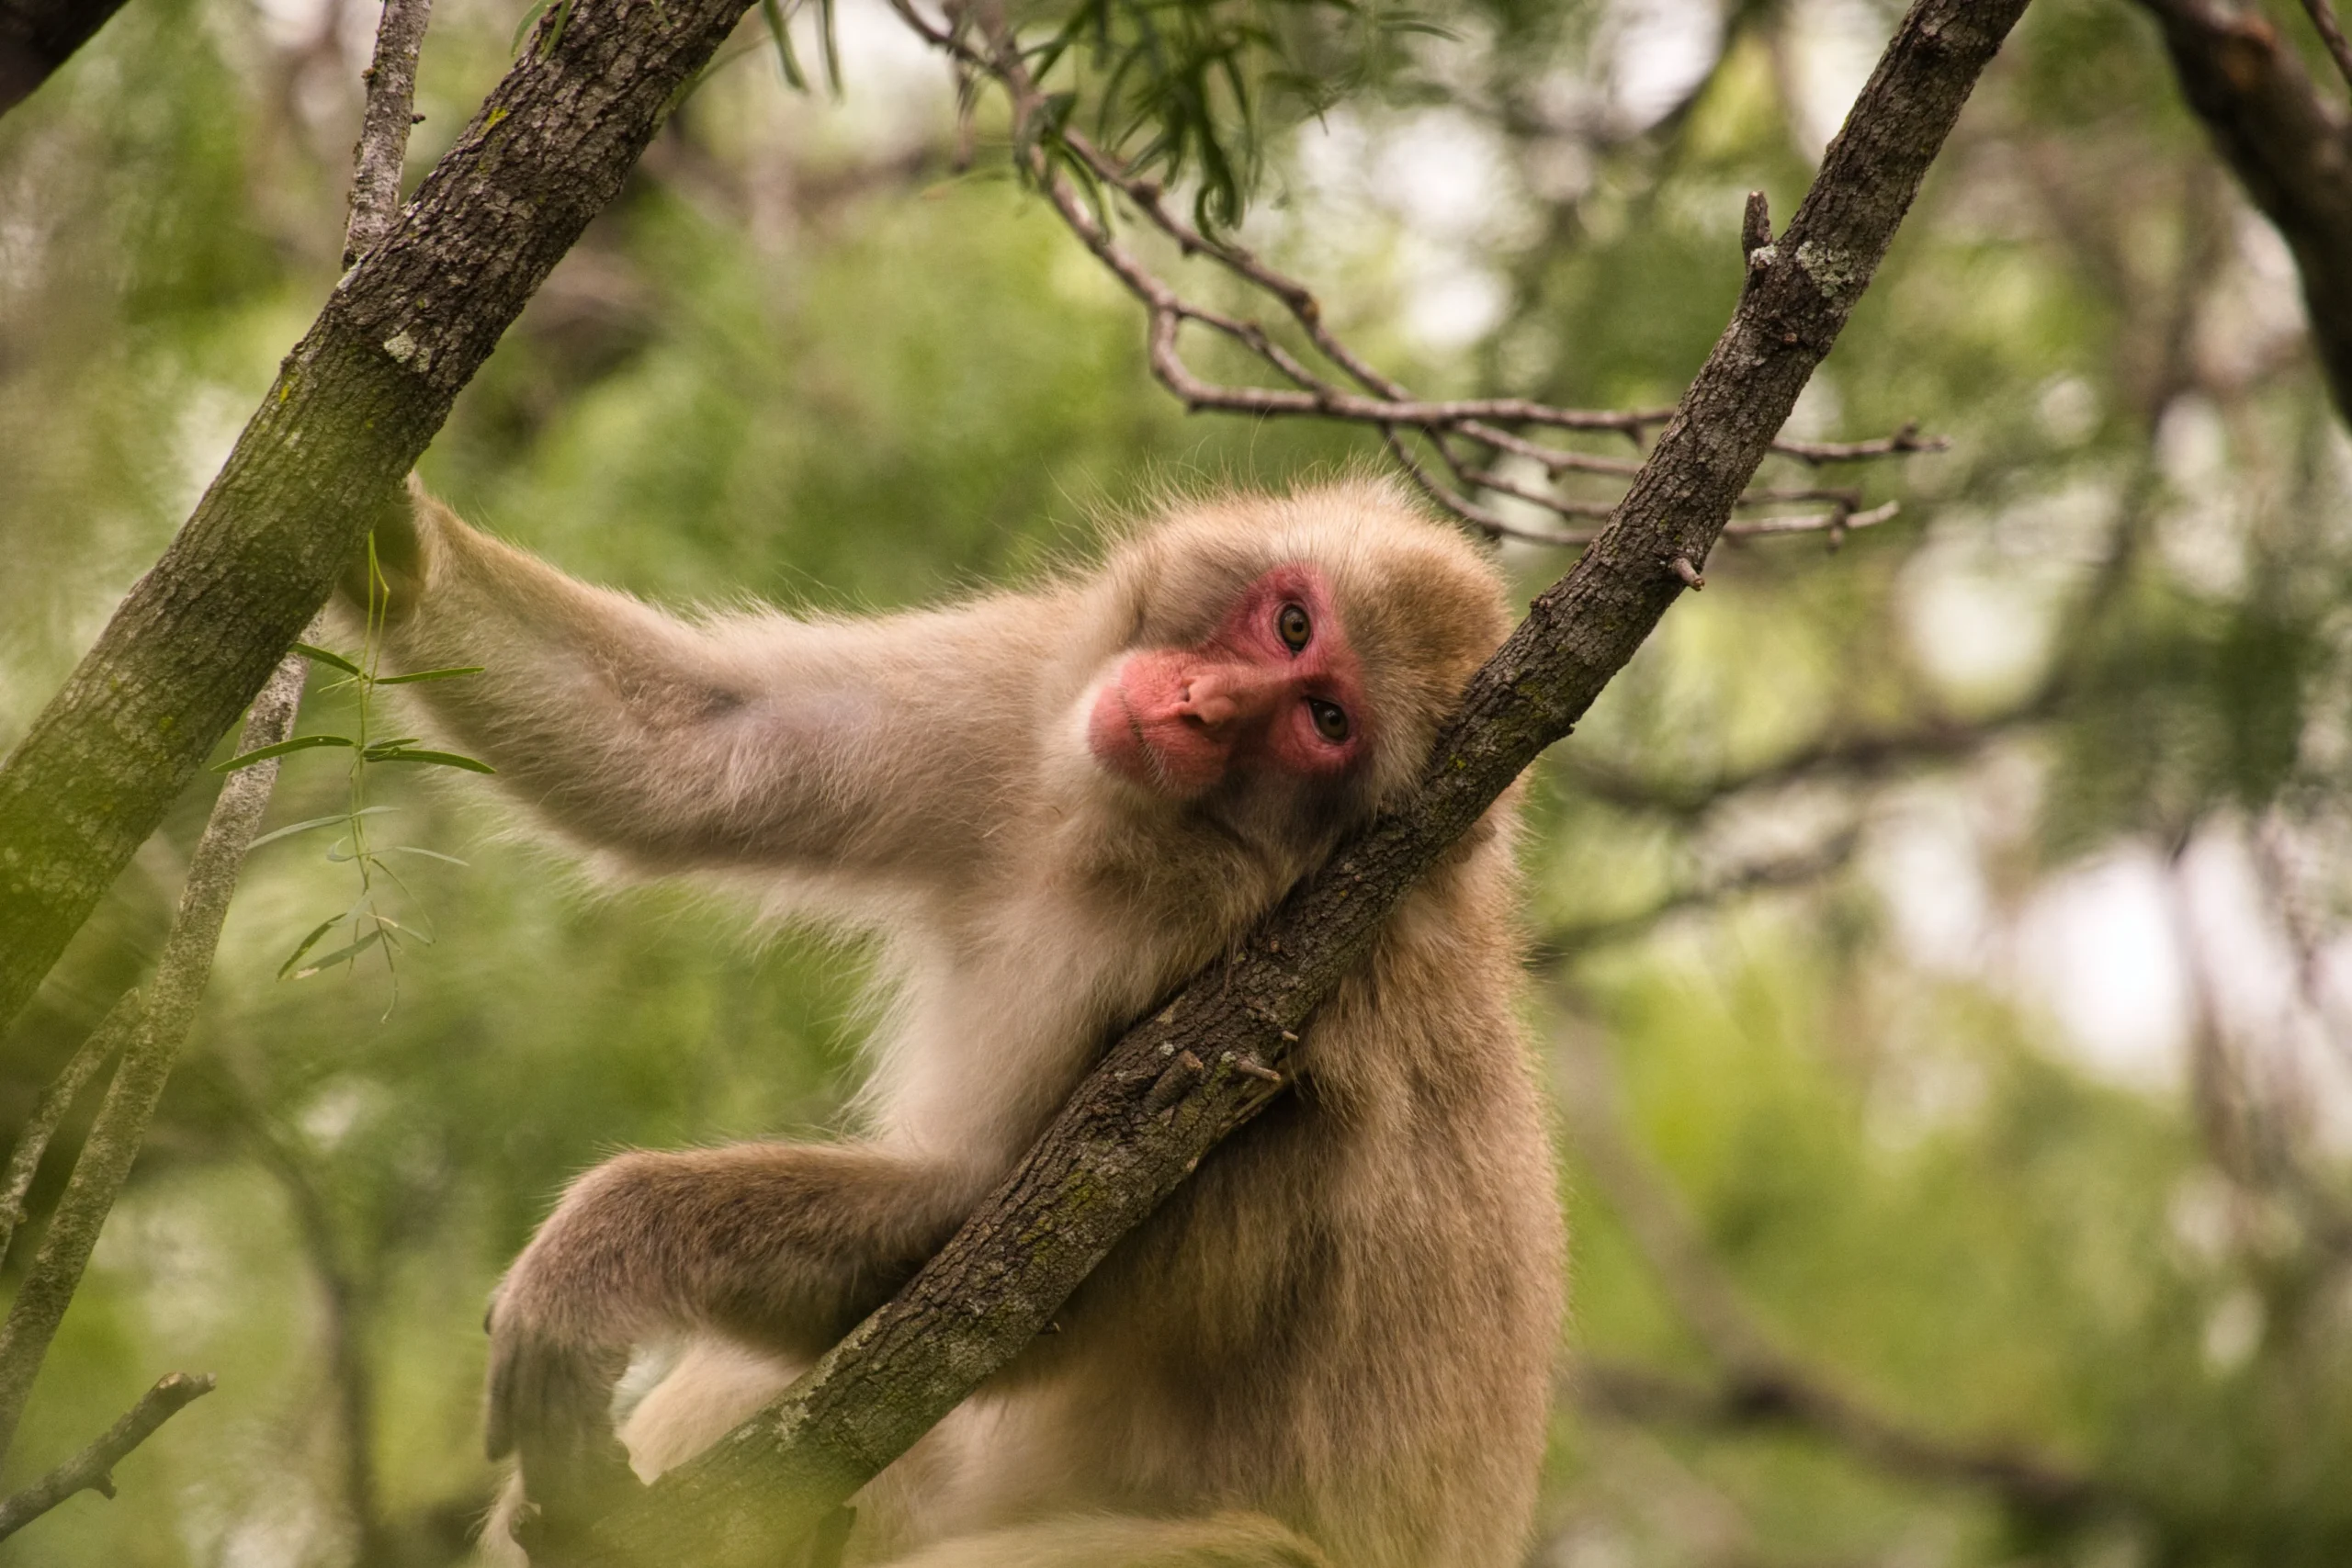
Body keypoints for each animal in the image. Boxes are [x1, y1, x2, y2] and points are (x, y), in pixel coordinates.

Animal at [341, 476, 1563, 1568]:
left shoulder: (1263, 1019)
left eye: (1323, 721)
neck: (1131, 844)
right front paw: (392, 537)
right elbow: (702, 752)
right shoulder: (1021, 696)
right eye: (1292, 623)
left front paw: (604, 1249)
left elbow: (1001, 1267)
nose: (1201, 708)